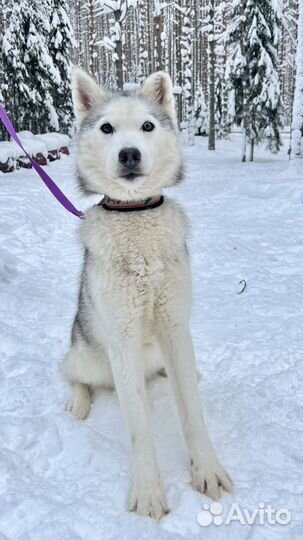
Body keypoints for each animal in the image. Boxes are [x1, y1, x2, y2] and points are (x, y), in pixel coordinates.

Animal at [61, 67, 233, 520]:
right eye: (106, 128)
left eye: (147, 127)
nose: (129, 154)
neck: (136, 219)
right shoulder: (122, 339)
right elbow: (139, 427)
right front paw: (148, 493)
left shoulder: (176, 327)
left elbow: (192, 412)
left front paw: (207, 471)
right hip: (88, 357)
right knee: (70, 374)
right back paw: (78, 403)